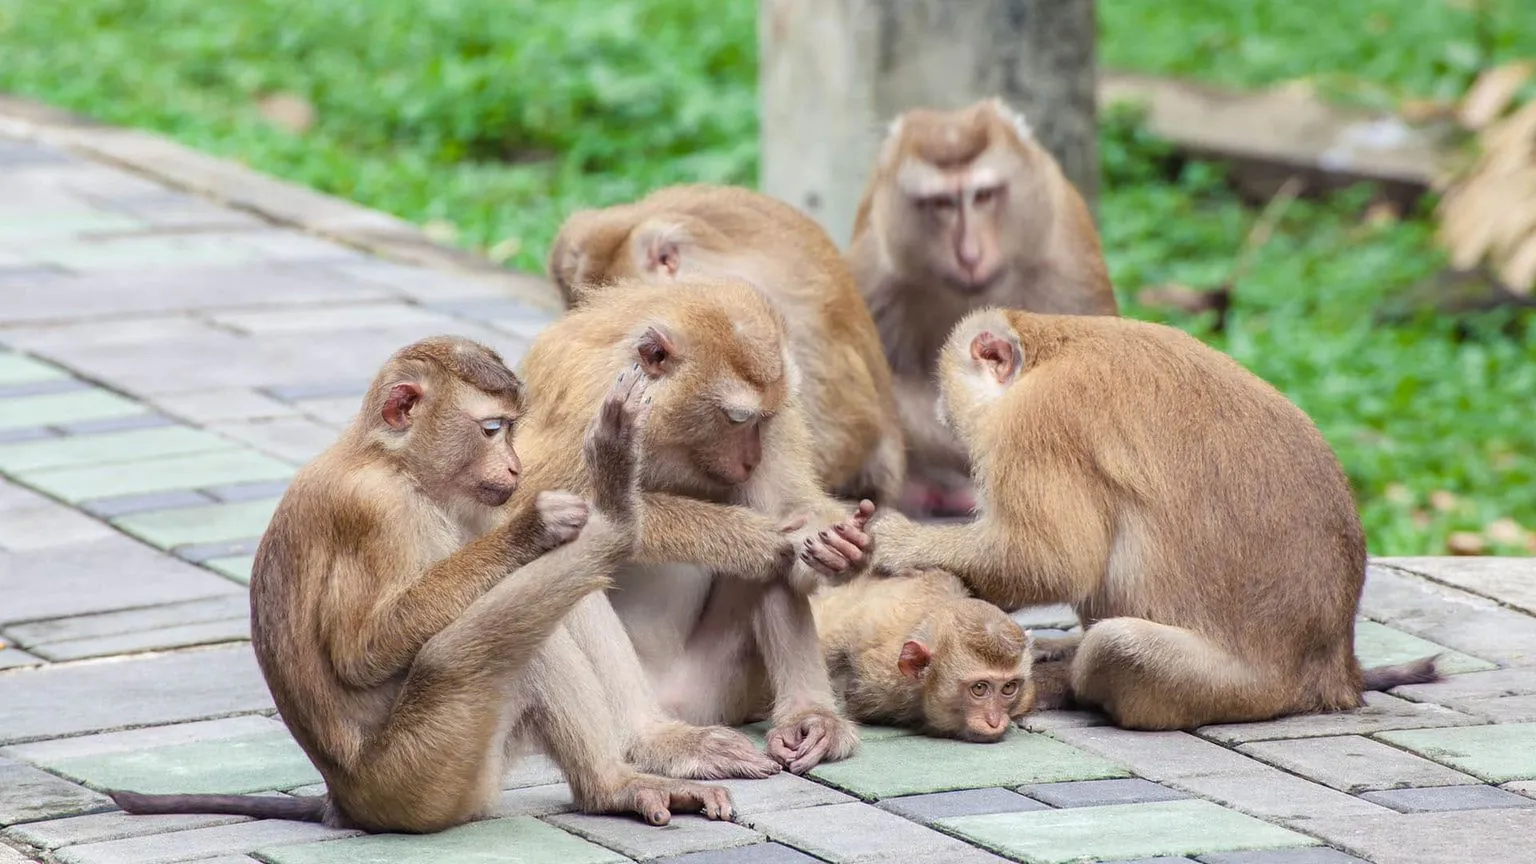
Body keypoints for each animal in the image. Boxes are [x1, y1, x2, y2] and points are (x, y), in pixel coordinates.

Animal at [107, 336, 737, 833]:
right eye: (493, 429)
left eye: (512, 432)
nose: (515, 469)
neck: (389, 461)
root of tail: (347, 799)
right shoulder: (378, 512)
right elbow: (362, 652)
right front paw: (539, 522)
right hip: (428, 775)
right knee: (506, 639)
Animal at [512, 277, 875, 775]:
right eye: (737, 418)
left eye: (764, 419)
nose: (750, 459)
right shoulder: (581, 401)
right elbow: (523, 510)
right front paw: (752, 538)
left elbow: (790, 508)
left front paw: (841, 550)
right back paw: (658, 739)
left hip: (719, 687)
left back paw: (809, 718)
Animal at [866, 308, 1442, 731]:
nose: (941, 416)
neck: (1053, 346)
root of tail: (1334, 673)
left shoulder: (1039, 422)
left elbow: (1048, 561)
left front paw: (894, 544)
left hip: (1237, 690)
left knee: (1117, 644)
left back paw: (1067, 685)